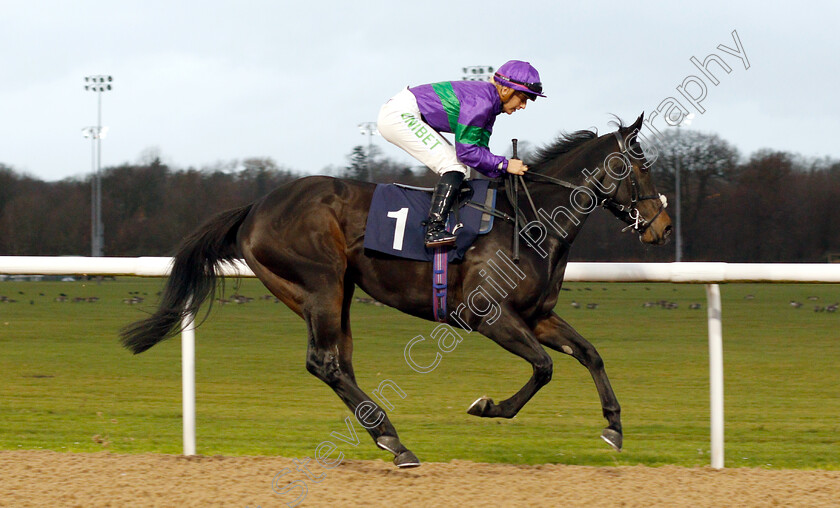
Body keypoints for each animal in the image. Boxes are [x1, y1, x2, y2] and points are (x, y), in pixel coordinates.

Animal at [120, 112, 668, 468]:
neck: (529, 222)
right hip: (318, 283)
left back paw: (386, 435)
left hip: (335, 292)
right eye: (641, 166)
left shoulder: (537, 315)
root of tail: (255, 206)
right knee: (324, 362)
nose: (661, 226)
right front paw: (488, 406)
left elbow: (590, 353)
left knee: (337, 362)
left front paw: (614, 427)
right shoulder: (490, 316)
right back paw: (393, 440)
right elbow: (544, 366)